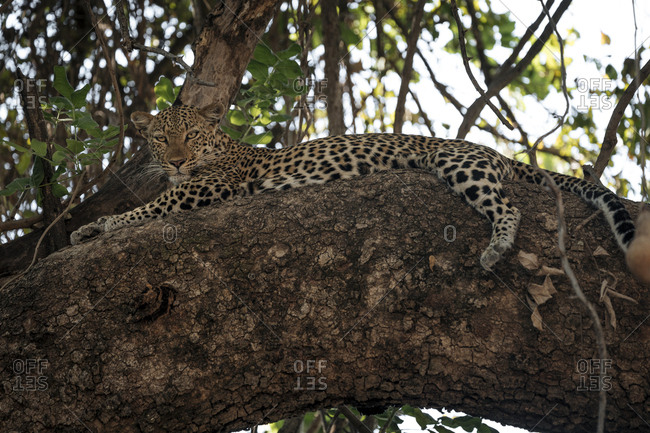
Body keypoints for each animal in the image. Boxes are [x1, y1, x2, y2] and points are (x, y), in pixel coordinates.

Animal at [70, 103, 636, 271]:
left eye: (189, 136)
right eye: (161, 139)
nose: (177, 160)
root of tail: (496, 152)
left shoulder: (204, 188)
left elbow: (152, 207)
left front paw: (100, 225)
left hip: (460, 165)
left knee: (510, 207)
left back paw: (496, 248)